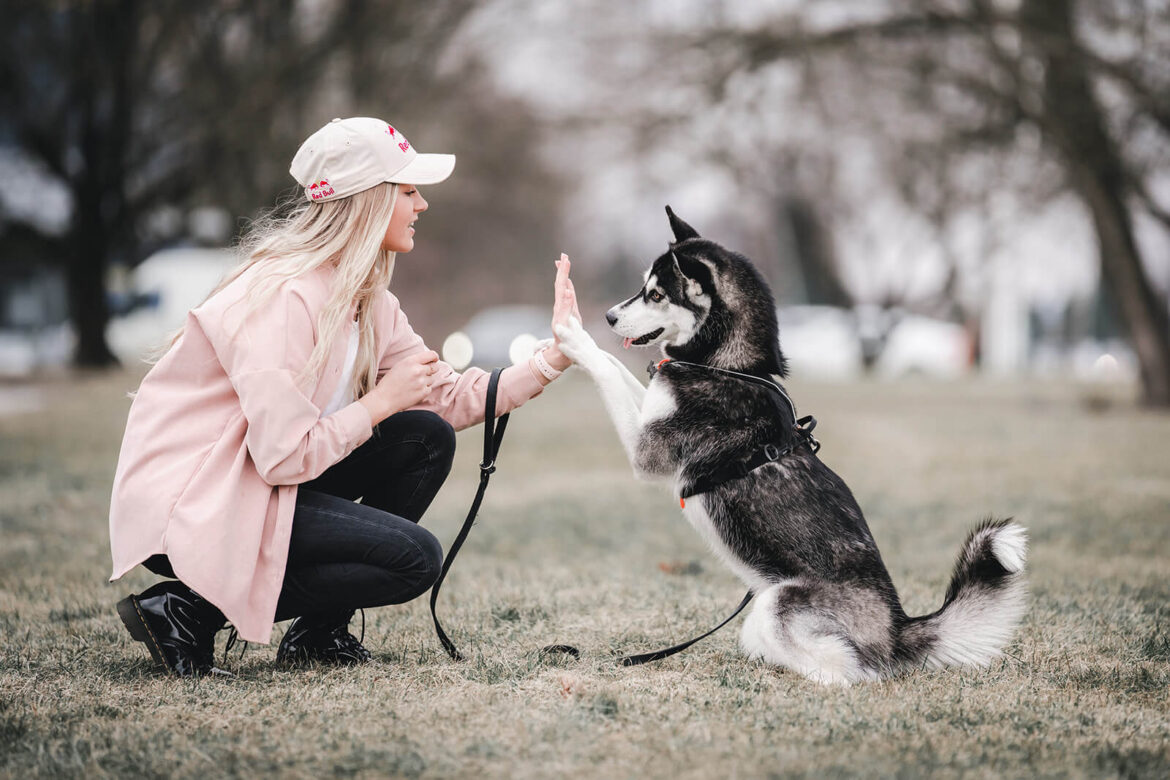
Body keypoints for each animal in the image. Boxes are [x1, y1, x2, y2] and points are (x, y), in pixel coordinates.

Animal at [554, 205, 1024, 682]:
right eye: (643, 288)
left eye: (654, 294)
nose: (609, 317)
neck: (729, 366)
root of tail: (897, 626)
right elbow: (620, 369)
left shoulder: (647, 451)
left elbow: (608, 372)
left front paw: (573, 337)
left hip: (777, 605)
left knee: (852, 669)